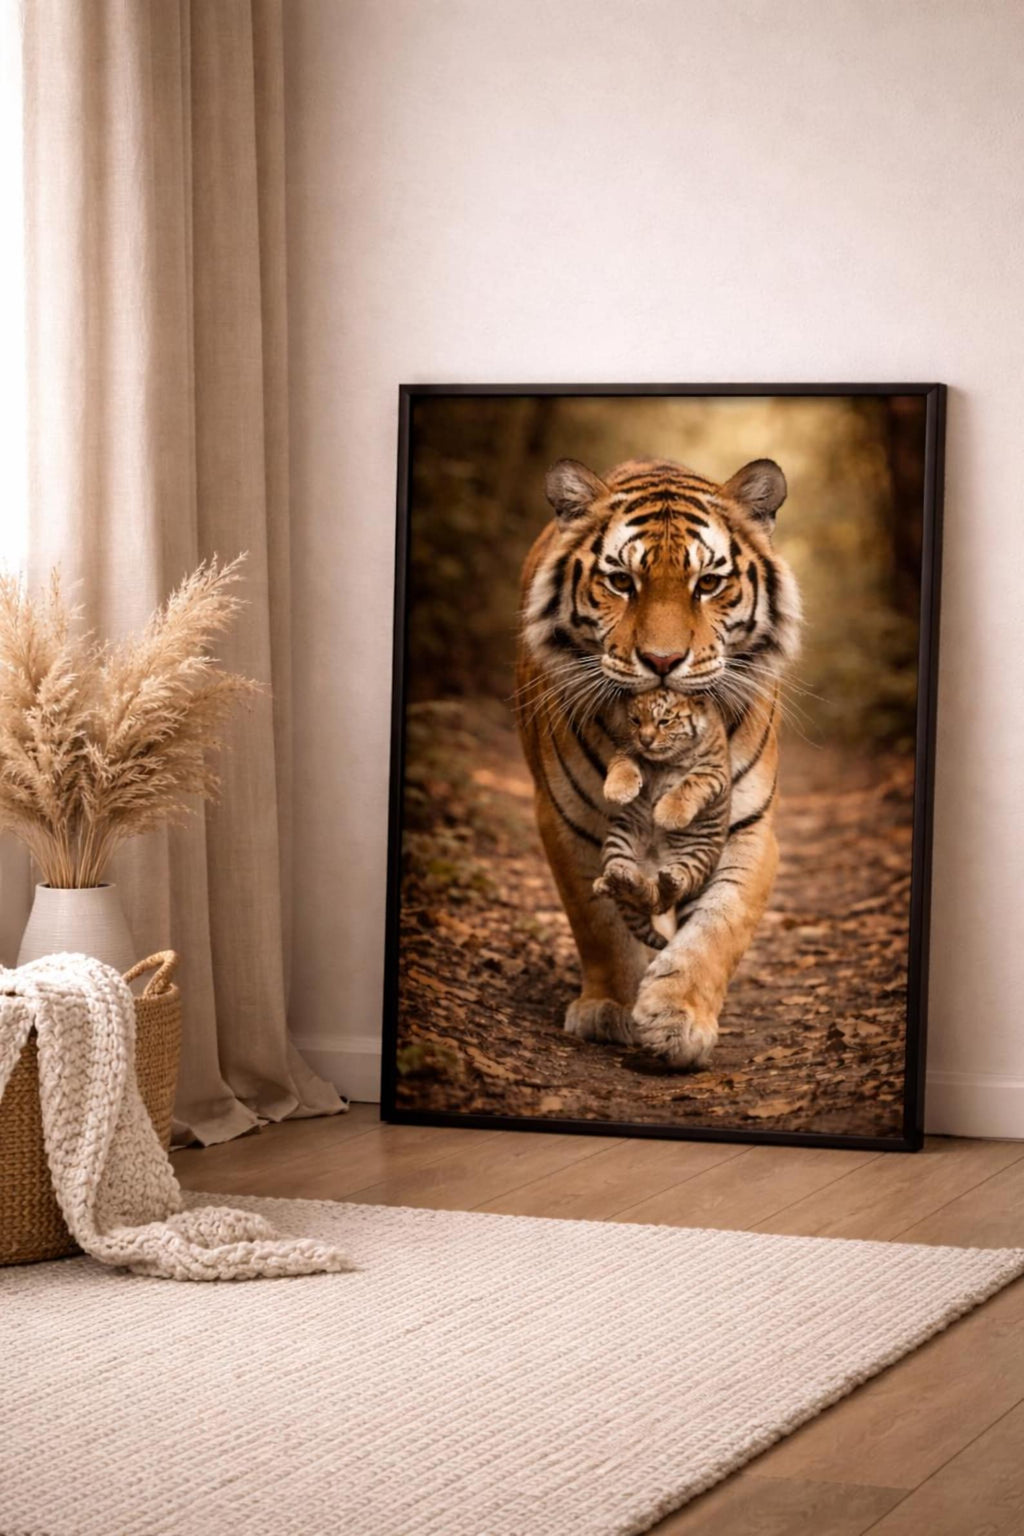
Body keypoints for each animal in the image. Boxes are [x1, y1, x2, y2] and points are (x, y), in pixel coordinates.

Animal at [594, 689, 731, 952]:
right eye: (636, 720)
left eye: (664, 721)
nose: (645, 740)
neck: (667, 760)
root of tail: (651, 869)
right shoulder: (630, 749)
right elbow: (622, 761)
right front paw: (618, 790)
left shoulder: (713, 768)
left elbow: (691, 782)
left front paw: (666, 814)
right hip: (619, 841)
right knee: (641, 897)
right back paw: (611, 881)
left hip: (694, 858)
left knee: (660, 900)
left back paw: (668, 880)